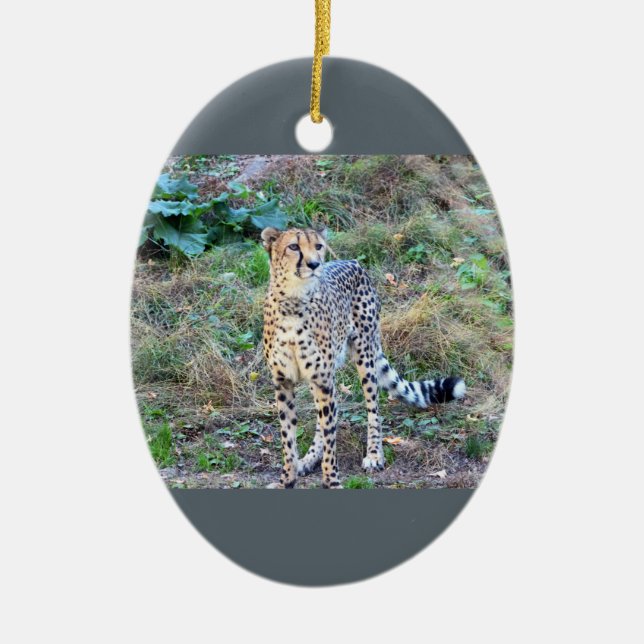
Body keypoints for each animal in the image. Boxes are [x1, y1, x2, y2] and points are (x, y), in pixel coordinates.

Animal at [261, 226, 465, 489]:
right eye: (294, 247)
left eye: (318, 246)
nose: (315, 264)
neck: (294, 301)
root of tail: (353, 262)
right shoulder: (284, 381)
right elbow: (288, 436)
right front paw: (287, 478)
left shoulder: (322, 378)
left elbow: (331, 438)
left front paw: (332, 481)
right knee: (325, 417)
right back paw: (308, 459)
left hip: (364, 356)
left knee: (372, 409)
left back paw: (375, 454)